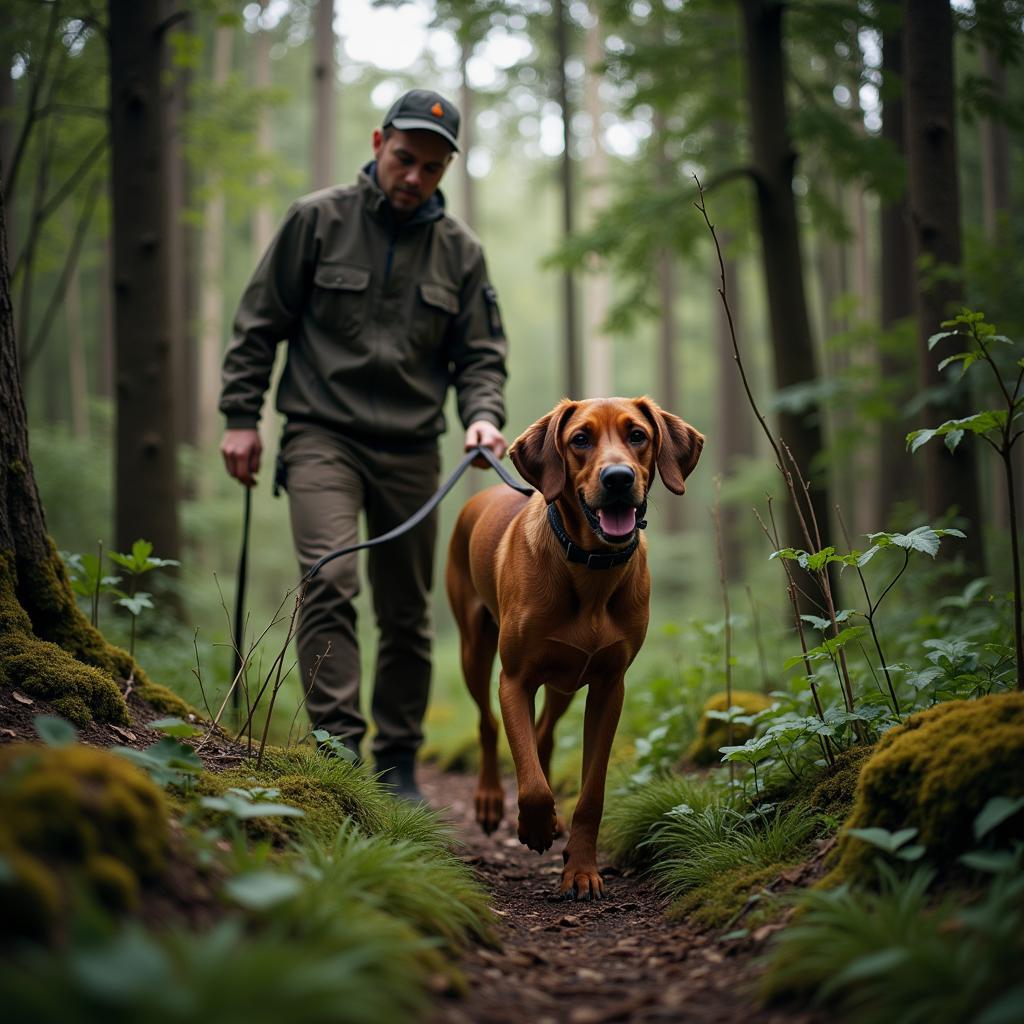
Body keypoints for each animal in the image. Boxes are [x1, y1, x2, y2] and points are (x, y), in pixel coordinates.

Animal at [448, 397, 704, 897]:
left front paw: (581, 868)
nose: (618, 478)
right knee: (488, 722)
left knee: (543, 733)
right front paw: (533, 826)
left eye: (638, 435)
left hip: (566, 681)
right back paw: (491, 801)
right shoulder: (515, 679)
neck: (591, 567)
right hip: (474, 649)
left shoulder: (608, 686)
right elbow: (531, 782)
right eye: (580, 439)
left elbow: (591, 792)